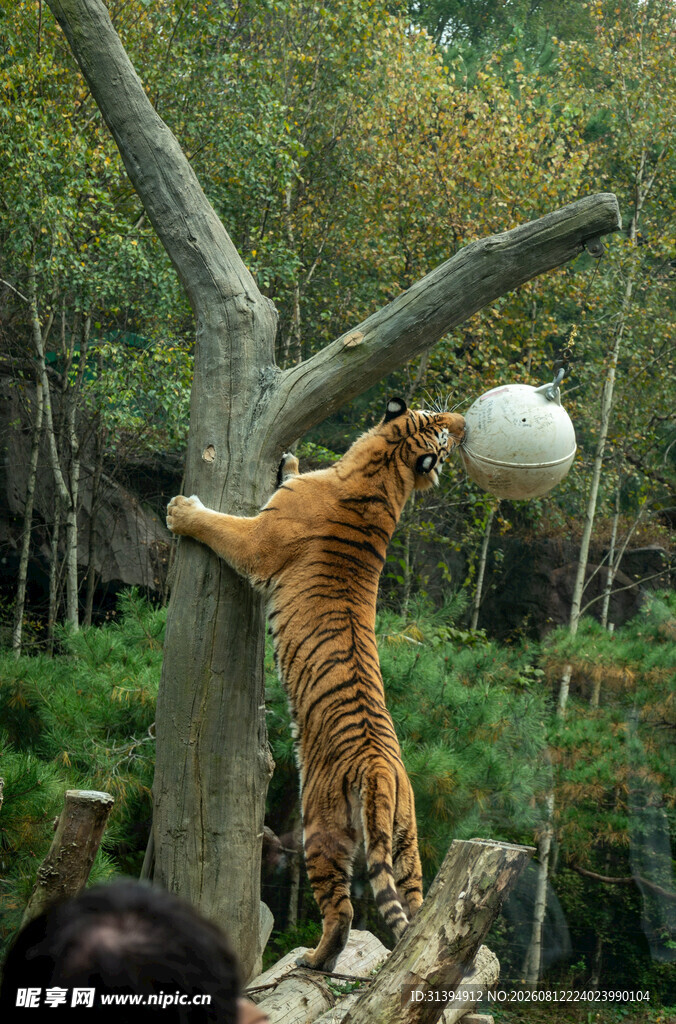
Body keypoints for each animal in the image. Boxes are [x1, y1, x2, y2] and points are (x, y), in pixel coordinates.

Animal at [166, 397, 466, 971]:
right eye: (441, 423)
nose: (466, 425)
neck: (382, 476)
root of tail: (381, 769)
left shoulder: (259, 542)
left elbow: (220, 526)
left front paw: (180, 511)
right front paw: (289, 460)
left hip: (321, 829)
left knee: (343, 913)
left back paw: (313, 960)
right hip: (407, 844)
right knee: (419, 915)